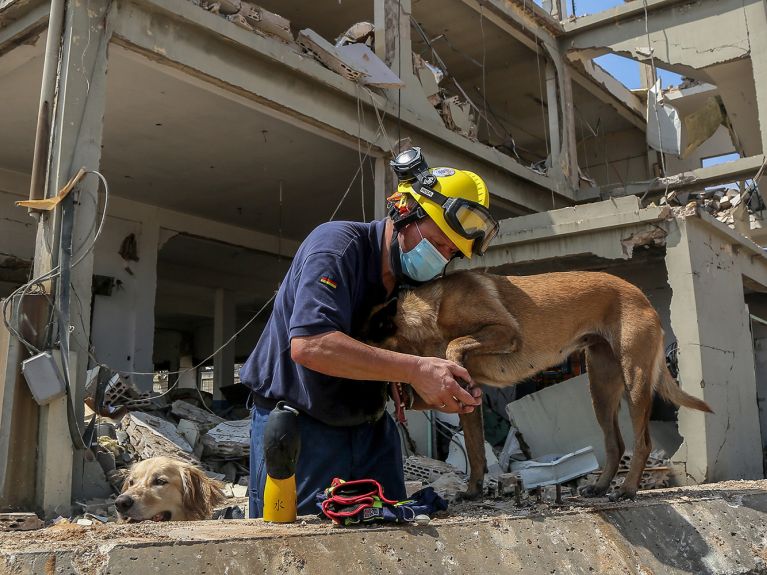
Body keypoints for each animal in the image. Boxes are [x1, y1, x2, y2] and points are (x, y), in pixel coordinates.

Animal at [366, 270, 712, 500]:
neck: (430, 314)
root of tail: (640, 294)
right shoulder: (469, 399)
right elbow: (476, 452)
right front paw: (474, 491)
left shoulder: (505, 332)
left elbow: (456, 343)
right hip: (601, 389)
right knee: (616, 444)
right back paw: (600, 486)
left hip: (635, 380)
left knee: (642, 443)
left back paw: (626, 490)